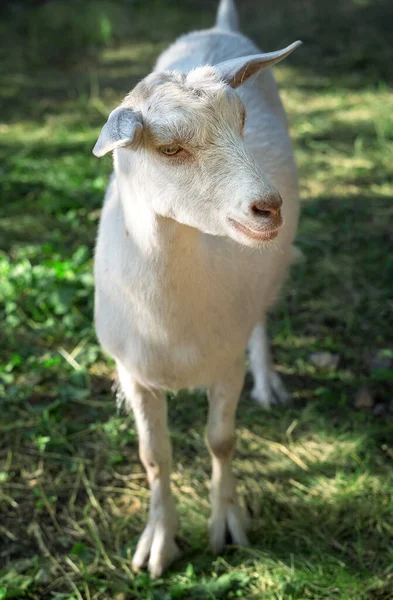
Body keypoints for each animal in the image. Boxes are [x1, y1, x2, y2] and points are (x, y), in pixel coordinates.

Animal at [92, 0, 300, 576]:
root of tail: (219, 27)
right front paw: (158, 542)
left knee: (262, 315)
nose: (268, 207)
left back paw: (268, 381)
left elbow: (222, 440)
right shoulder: (133, 372)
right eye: (168, 149)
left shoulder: (224, 362)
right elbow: (154, 456)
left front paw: (227, 526)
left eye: (243, 121)